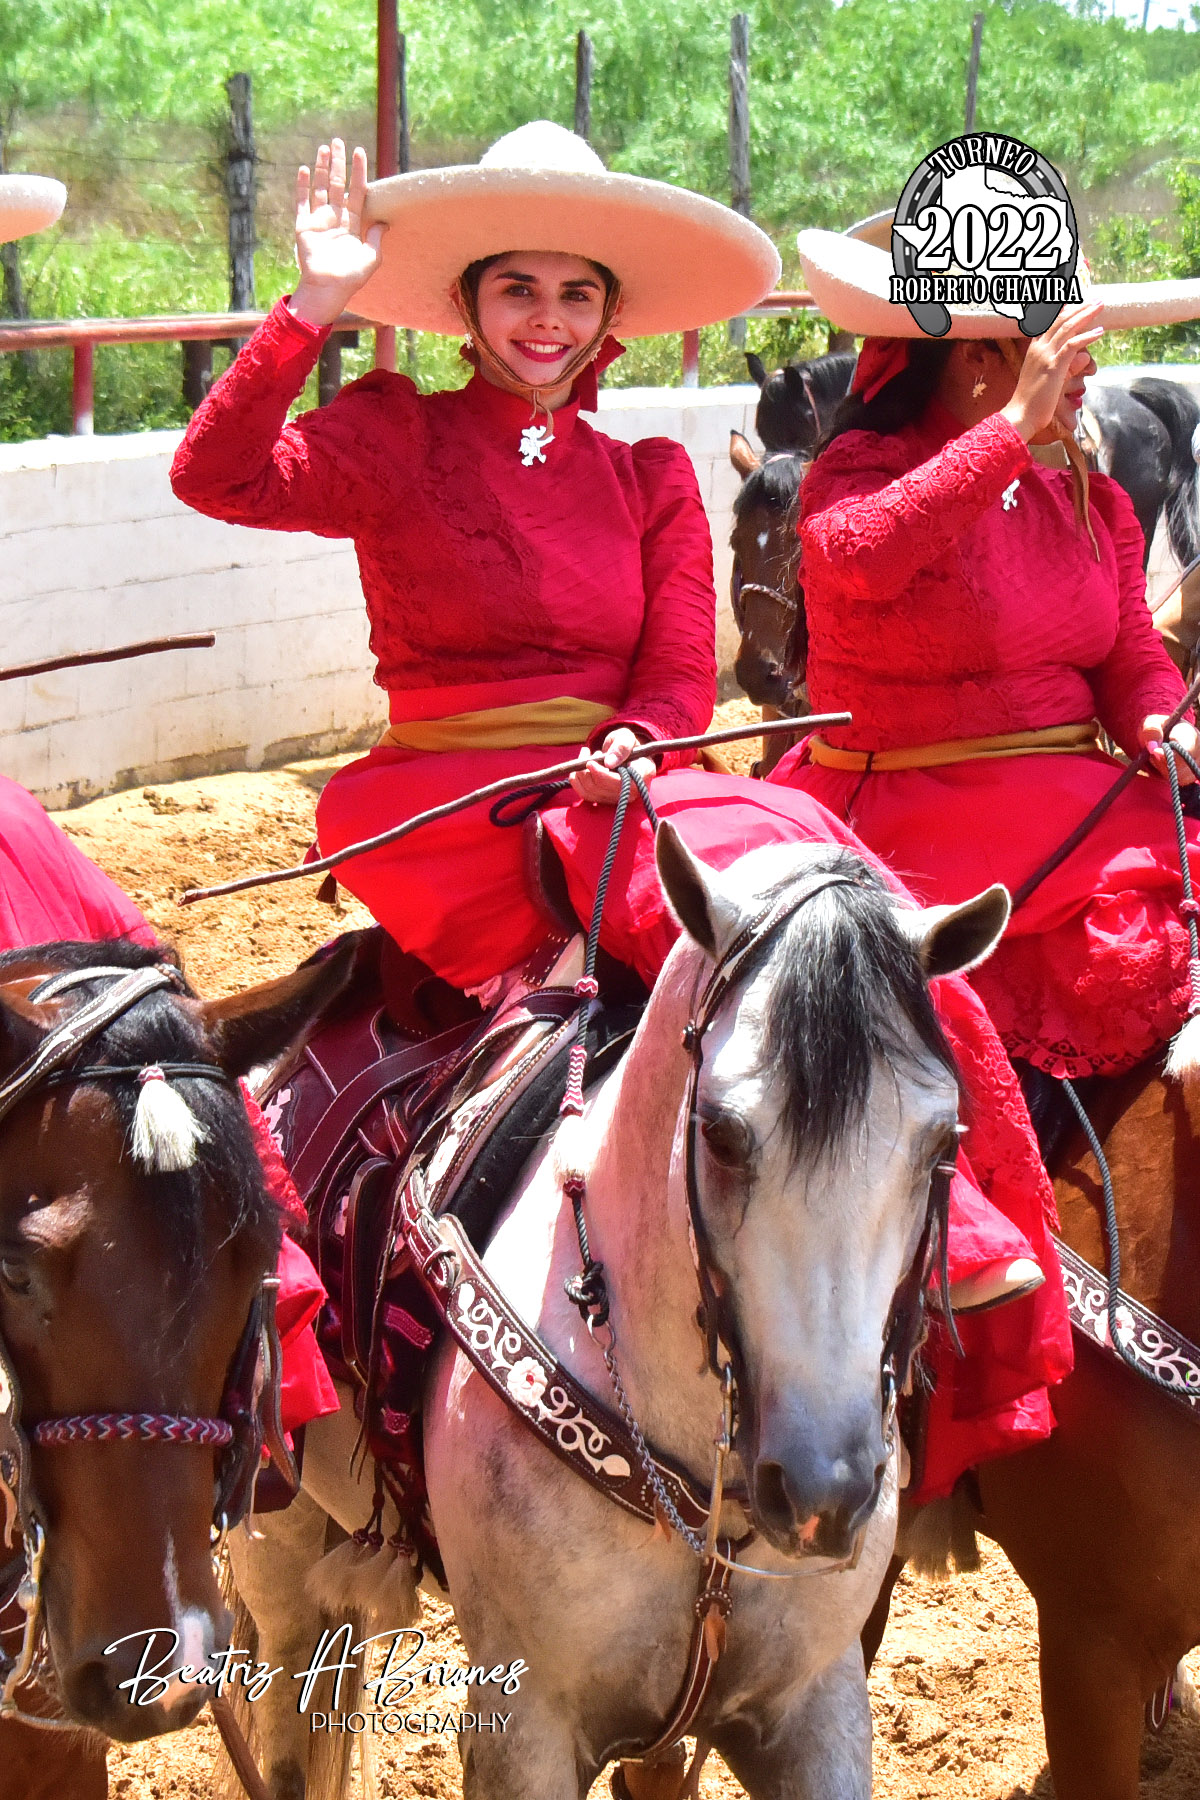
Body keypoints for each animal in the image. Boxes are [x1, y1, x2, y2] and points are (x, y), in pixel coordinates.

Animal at [225, 831, 1009, 1800]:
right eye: (720, 1132)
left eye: (944, 1145)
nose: (823, 1494)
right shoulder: (525, 1731)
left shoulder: (815, 1708)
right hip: (278, 1543)